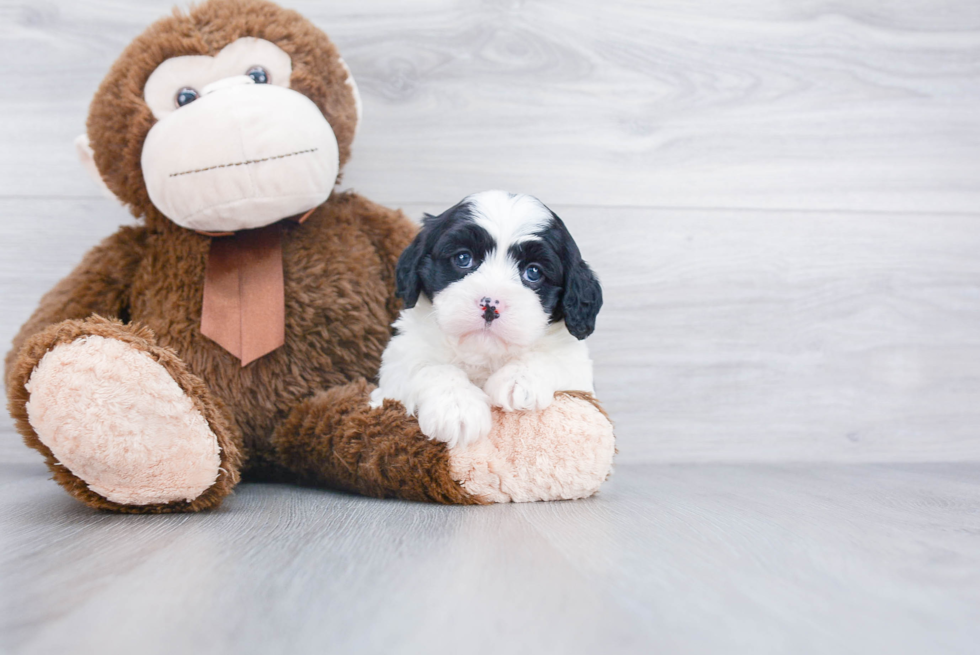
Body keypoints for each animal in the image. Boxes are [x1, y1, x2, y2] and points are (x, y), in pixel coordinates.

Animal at [368, 187, 600, 448]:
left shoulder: (578, 373)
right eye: (463, 258)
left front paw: (518, 380)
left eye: (533, 272)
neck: (483, 352)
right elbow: (429, 368)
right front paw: (456, 407)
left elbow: (553, 358)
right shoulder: (397, 367)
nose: (490, 305)